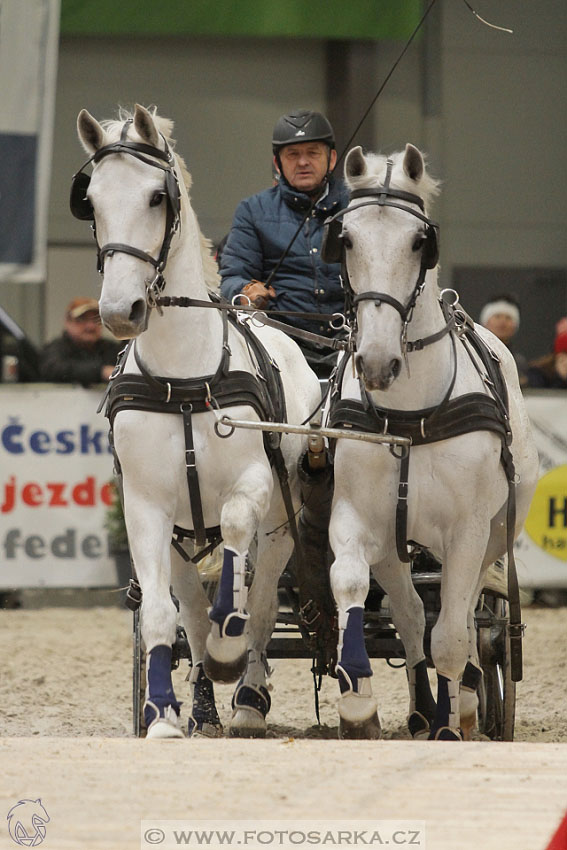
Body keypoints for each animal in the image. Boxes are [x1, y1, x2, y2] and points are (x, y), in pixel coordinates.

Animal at [75, 101, 322, 736]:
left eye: (156, 197)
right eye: (92, 200)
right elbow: (166, 614)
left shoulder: (252, 488)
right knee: (189, 605)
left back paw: (249, 697)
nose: (120, 310)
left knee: (262, 601)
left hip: (282, 520)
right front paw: (162, 714)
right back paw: (206, 704)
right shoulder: (146, 508)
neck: (183, 379)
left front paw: (229, 651)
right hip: (184, 536)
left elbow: (238, 569)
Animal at [326, 144, 540, 736]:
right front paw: (358, 702)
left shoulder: (467, 531)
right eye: (346, 238)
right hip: (401, 547)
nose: (378, 363)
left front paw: (453, 718)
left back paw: (462, 703)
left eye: (419, 241)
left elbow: (450, 634)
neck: (410, 416)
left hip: (488, 538)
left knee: (462, 619)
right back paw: (424, 708)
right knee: (410, 613)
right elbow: (352, 586)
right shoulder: (360, 519)